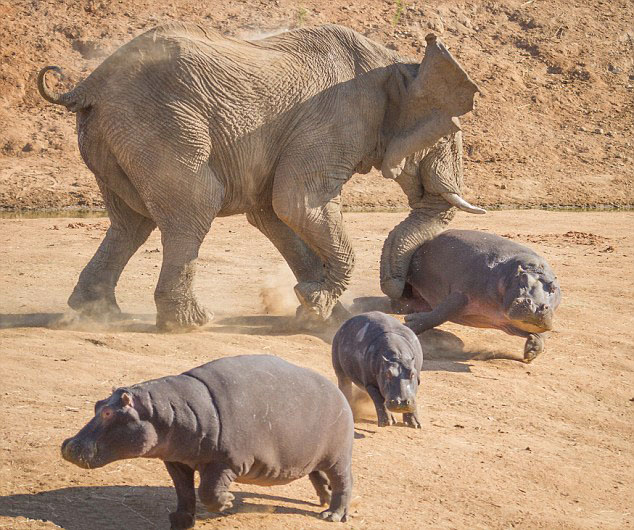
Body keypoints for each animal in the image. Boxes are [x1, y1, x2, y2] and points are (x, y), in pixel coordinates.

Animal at [37, 22, 482, 328]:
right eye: (448, 135)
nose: (398, 295)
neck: (398, 66)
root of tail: (89, 83)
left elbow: (274, 212)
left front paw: (320, 311)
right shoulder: (335, 120)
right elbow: (297, 203)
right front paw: (317, 305)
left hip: (112, 136)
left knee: (131, 222)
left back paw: (97, 313)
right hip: (163, 125)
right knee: (194, 207)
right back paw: (190, 324)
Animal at [61, 352, 354, 524]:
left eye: (109, 412)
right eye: (97, 405)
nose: (68, 445)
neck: (166, 411)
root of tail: (339, 393)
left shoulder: (227, 462)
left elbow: (208, 491)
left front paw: (228, 502)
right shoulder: (176, 461)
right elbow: (184, 491)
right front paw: (179, 519)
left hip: (338, 456)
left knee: (344, 482)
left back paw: (331, 515)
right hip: (312, 455)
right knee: (317, 475)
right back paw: (324, 499)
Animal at [392, 229, 560, 360]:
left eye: (553, 288)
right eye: (522, 278)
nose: (537, 307)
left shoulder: (506, 323)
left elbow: (539, 333)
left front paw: (531, 352)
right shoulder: (461, 294)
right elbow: (439, 314)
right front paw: (408, 325)